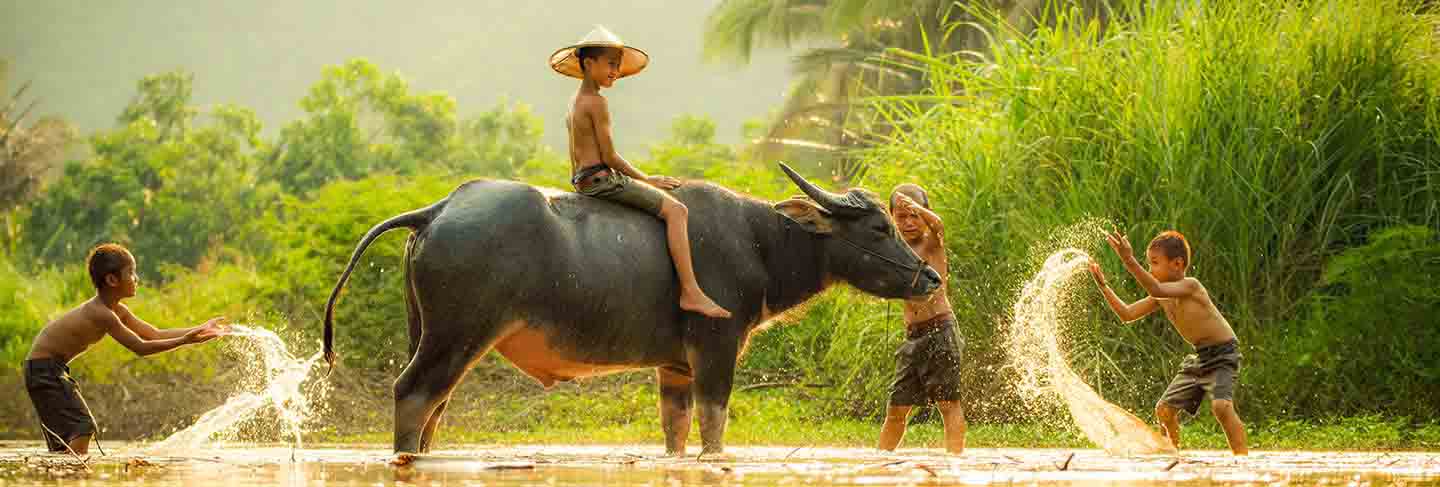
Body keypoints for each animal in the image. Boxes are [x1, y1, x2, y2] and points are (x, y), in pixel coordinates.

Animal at [321, 163, 938, 455]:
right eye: (879, 228)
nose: (930, 276)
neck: (760, 242)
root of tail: (440, 208)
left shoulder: (675, 365)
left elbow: (677, 431)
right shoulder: (716, 349)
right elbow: (715, 429)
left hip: (425, 332)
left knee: (434, 406)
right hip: (456, 335)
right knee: (413, 395)